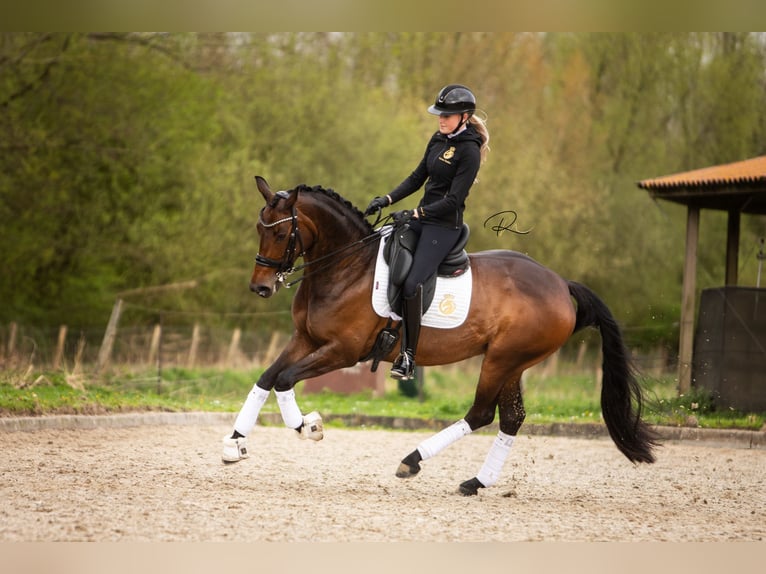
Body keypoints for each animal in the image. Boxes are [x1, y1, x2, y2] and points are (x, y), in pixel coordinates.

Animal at [226, 176, 660, 496]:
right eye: (259, 228)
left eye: (281, 234)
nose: (260, 287)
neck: (346, 267)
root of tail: (560, 284)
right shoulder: (305, 340)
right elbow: (267, 378)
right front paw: (234, 444)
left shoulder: (343, 351)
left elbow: (285, 379)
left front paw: (308, 426)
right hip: (513, 363)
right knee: (512, 418)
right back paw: (476, 482)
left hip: (502, 358)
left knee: (482, 413)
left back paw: (413, 460)